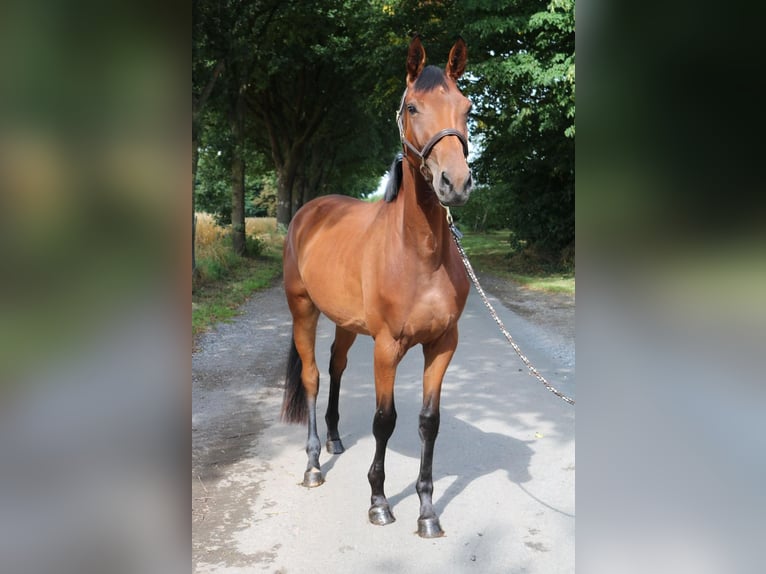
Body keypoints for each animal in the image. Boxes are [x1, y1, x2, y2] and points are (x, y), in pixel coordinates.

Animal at [280, 35, 473, 538]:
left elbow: (429, 421)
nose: (455, 183)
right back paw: (313, 464)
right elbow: (385, 420)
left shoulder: (443, 343)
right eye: (412, 107)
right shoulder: (387, 346)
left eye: (467, 107)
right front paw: (380, 501)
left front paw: (427, 511)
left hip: (347, 323)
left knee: (336, 366)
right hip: (303, 310)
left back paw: (333, 439)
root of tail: (310, 212)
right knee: (313, 376)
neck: (418, 254)